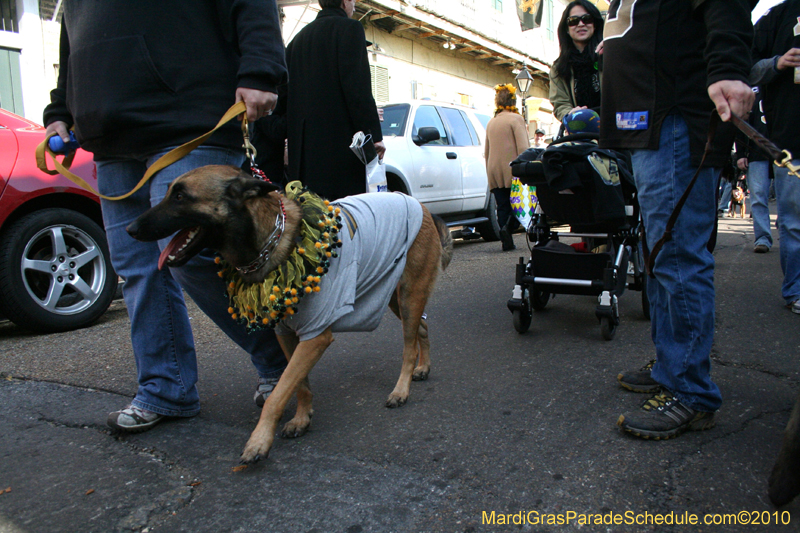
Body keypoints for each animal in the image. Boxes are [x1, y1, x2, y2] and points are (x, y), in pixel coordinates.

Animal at [125, 165, 450, 462]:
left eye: (180, 196)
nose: (130, 230)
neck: (273, 239)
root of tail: (420, 206)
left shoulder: (315, 336)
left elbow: (280, 392)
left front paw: (258, 440)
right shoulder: (286, 334)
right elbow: (298, 384)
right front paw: (301, 419)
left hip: (408, 295)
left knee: (409, 344)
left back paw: (402, 389)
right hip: (396, 297)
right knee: (422, 328)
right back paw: (423, 367)